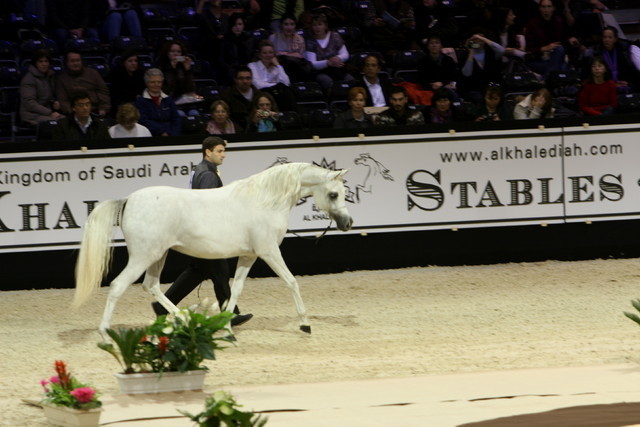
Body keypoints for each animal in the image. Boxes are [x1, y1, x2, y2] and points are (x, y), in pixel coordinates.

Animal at [73, 162, 353, 340]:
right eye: (333, 194)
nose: (348, 223)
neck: (265, 201)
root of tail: (128, 200)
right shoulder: (269, 251)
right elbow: (292, 282)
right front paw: (305, 325)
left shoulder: (249, 255)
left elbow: (235, 290)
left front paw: (228, 325)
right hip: (143, 257)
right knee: (118, 286)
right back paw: (105, 334)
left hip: (157, 256)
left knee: (150, 286)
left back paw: (183, 319)